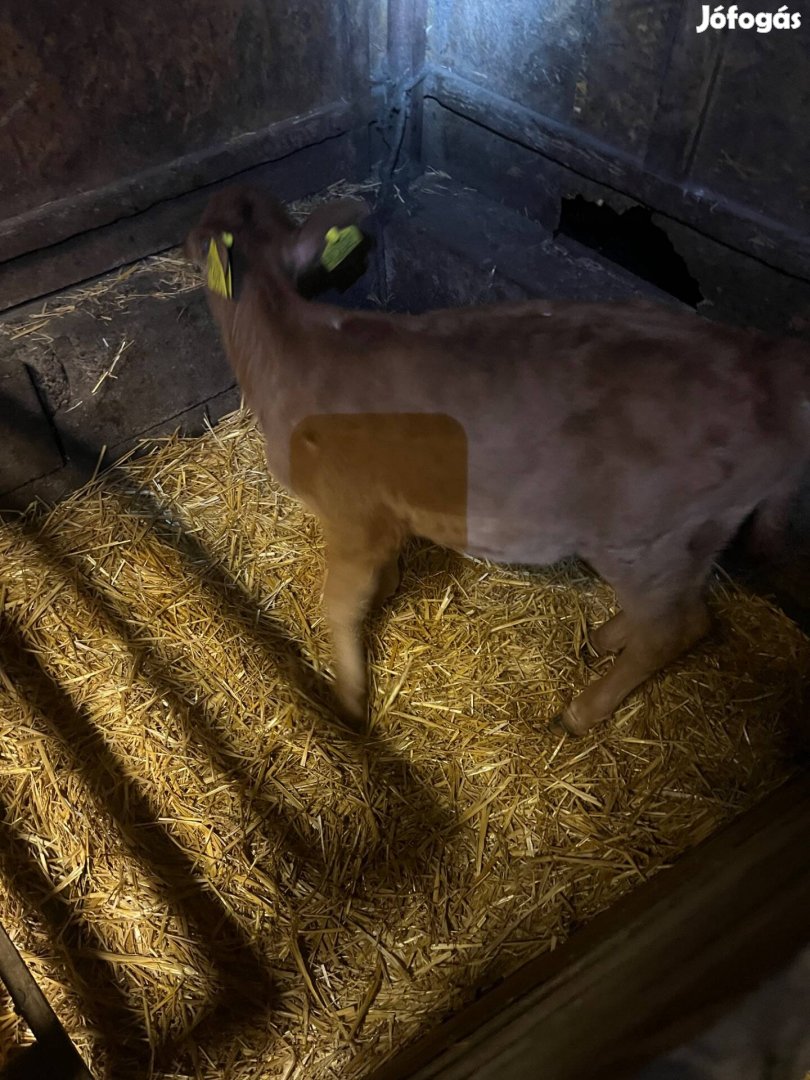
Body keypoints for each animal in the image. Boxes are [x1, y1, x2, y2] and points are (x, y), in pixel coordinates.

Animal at [185, 190, 810, 738]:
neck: (286, 345)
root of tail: (770, 363)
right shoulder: (388, 512)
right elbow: (382, 578)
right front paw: (387, 594)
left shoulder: (352, 511)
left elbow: (340, 605)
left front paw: (348, 698)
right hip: (689, 536)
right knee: (689, 610)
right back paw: (604, 639)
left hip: (647, 534)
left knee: (673, 628)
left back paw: (581, 711)